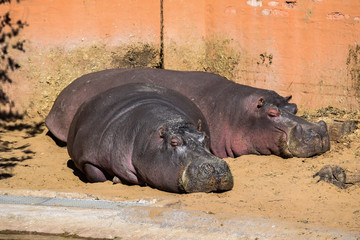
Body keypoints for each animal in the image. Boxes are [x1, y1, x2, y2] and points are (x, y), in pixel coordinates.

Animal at [67, 83, 233, 193]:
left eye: (204, 136)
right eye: (174, 142)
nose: (217, 168)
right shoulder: (86, 157)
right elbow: (96, 175)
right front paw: (115, 179)